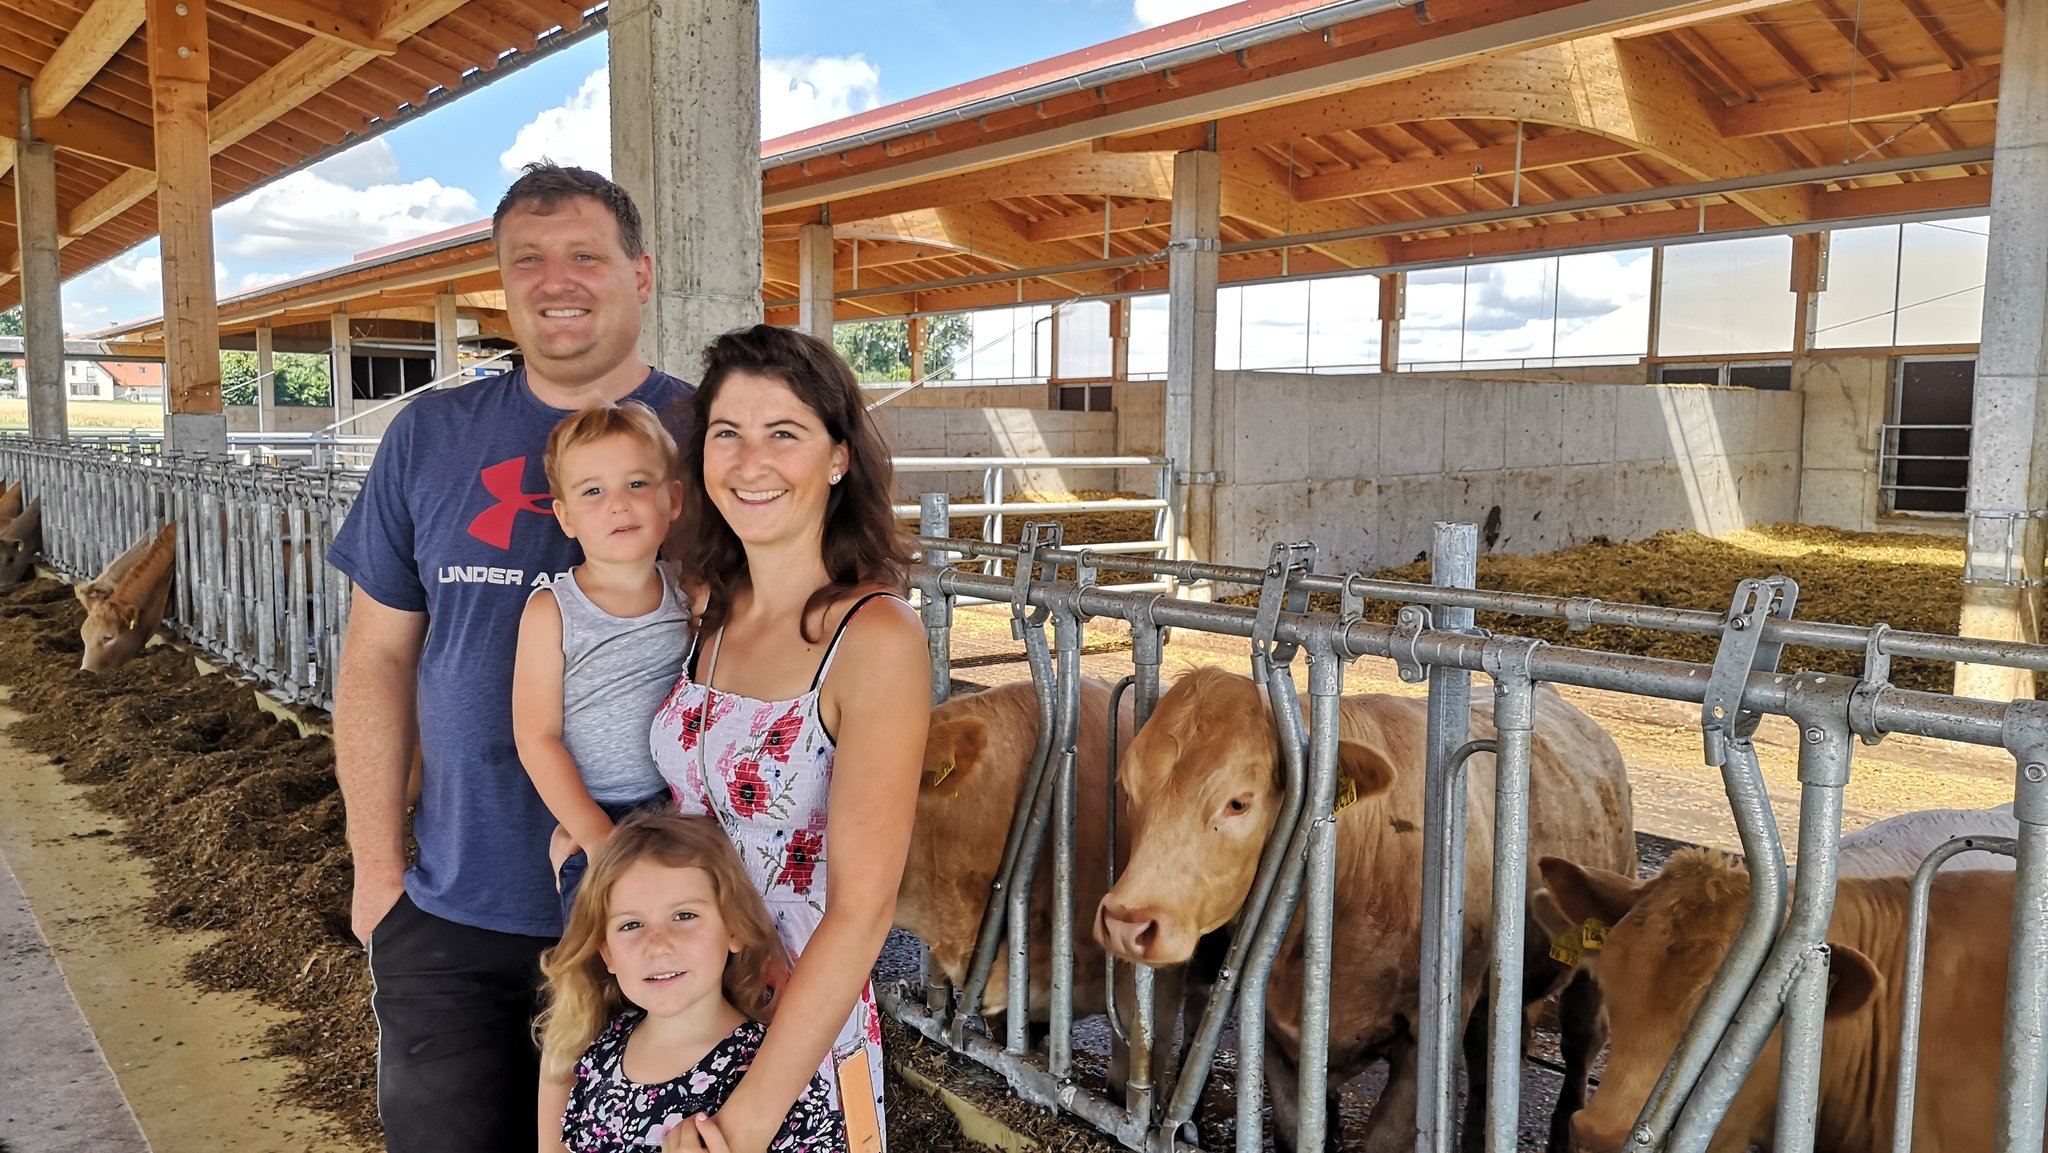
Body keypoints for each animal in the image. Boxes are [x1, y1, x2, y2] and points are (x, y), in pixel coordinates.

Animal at [1097, 667, 1638, 1153]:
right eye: (1127, 786)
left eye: (1238, 803)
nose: (1127, 923)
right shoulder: (1276, 1029)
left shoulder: (1427, 1041)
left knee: (1579, 1047)